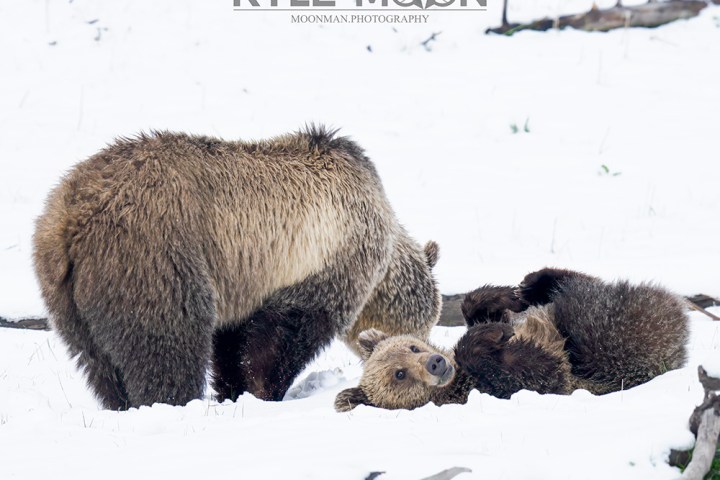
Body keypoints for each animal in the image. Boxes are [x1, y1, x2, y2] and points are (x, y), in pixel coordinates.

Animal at [33, 125, 441, 410]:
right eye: (417, 338)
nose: (436, 356)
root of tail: (70, 217)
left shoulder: (245, 279)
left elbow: (232, 346)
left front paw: (234, 391)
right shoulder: (320, 260)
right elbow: (284, 337)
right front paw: (265, 392)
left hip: (67, 292)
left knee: (98, 362)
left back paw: (121, 403)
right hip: (153, 256)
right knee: (167, 344)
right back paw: (173, 401)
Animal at [335, 268, 689, 411]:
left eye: (412, 346)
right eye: (399, 374)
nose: (435, 362)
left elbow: (483, 309)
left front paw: (504, 298)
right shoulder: (503, 384)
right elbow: (539, 369)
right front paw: (488, 336)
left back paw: (539, 281)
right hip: (620, 346)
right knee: (594, 332)